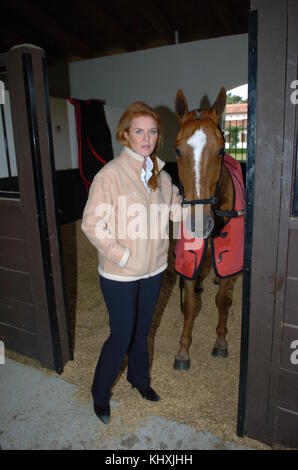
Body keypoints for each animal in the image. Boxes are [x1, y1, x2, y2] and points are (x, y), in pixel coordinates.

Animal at [172, 86, 244, 370]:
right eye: (178, 150)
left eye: (221, 149)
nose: (200, 223)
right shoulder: (190, 258)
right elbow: (191, 304)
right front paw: (183, 351)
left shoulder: (228, 258)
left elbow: (222, 301)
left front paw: (221, 342)